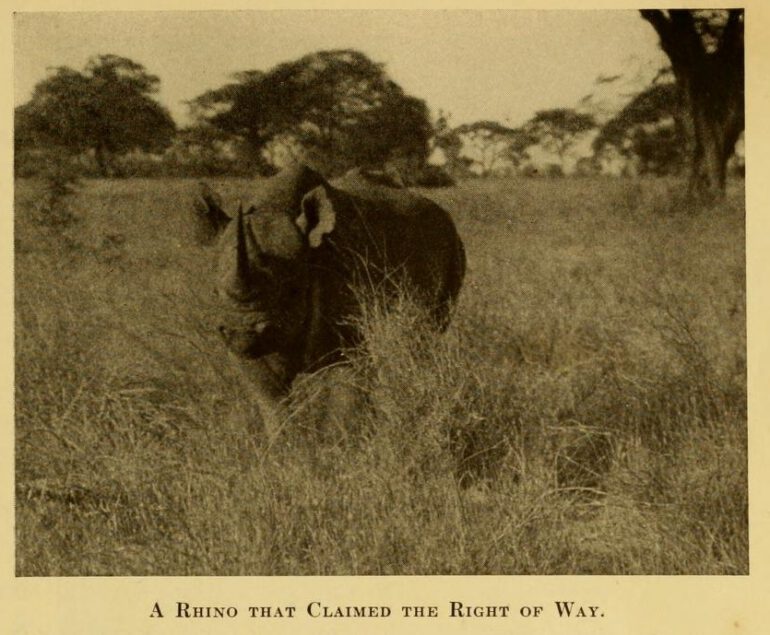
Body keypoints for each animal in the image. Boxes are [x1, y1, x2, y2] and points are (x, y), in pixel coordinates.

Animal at [194, 164, 465, 433]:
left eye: (293, 290)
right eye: (215, 292)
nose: (242, 332)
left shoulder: (351, 338)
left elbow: (344, 403)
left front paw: (342, 443)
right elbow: (272, 401)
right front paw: (287, 444)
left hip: (452, 247)